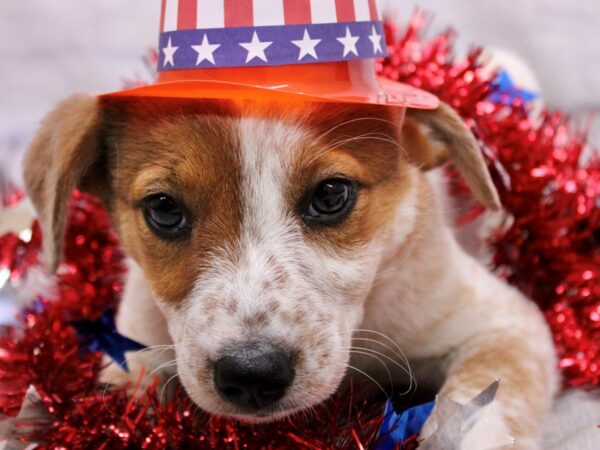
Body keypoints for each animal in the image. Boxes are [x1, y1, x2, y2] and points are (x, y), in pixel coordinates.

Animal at [23, 96, 556, 448]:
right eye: (164, 209)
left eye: (331, 195)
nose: (253, 374)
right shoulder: (134, 350)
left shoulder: (504, 324)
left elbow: (482, 408)